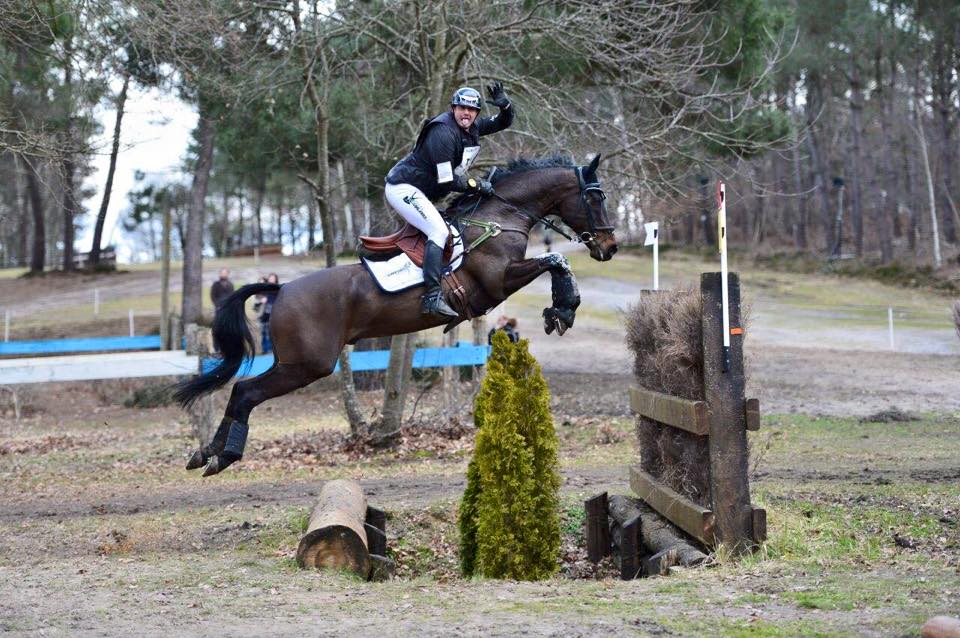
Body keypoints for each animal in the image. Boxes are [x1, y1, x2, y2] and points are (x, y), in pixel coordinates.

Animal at [175, 152, 620, 478]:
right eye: (595, 198)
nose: (610, 247)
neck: (499, 217)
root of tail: (280, 289)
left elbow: (556, 261)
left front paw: (562, 308)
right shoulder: (497, 283)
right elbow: (556, 259)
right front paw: (563, 308)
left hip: (295, 362)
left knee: (238, 390)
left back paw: (206, 454)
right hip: (307, 365)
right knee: (247, 392)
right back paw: (223, 456)